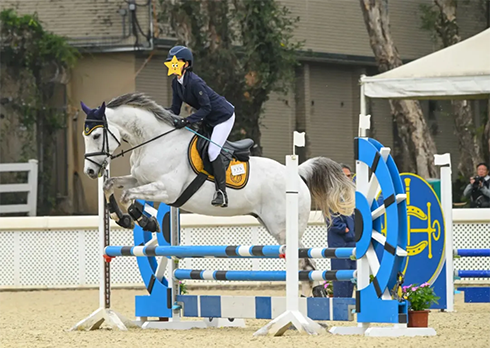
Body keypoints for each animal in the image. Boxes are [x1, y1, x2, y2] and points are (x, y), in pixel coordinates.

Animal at [81, 93, 356, 296]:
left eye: (96, 135)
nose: (90, 171)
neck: (155, 141)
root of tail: (297, 173)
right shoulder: (141, 179)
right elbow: (111, 186)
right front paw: (120, 217)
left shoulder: (167, 189)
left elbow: (128, 196)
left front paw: (143, 220)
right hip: (275, 227)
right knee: (303, 264)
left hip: (284, 229)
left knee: (306, 262)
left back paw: (313, 300)